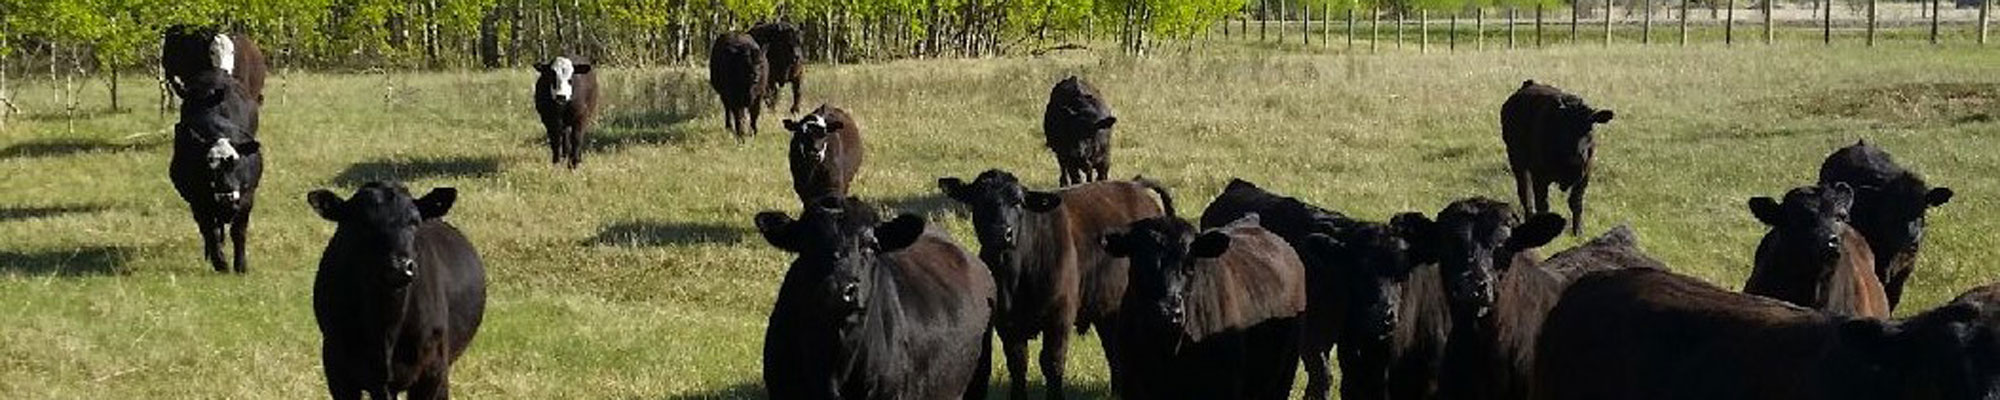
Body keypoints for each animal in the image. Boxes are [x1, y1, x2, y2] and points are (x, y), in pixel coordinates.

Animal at [169, 70, 263, 273]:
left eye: (236, 162)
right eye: (208, 165)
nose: (226, 194)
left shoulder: (247, 196)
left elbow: (238, 230)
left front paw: (240, 265)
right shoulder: (197, 201)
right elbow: (209, 230)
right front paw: (220, 262)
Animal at [937, 170, 1172, 400]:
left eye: (1018, 202)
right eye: (979, 200)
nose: (1001, 233)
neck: (1015, 275)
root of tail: (1136, 185)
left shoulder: (1059, 316)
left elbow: (1052, 363)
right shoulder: (1006, 322)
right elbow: (1017, 364)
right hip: (1107, 307)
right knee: (1113, 348)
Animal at [1197, 178, 1435, 400]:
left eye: (1402, 273)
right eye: (1359, 270)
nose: (1385, 315)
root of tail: (1239, 186)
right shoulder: (1313, 333)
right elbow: (1322, 375)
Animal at [1501, 80, 1615, 235]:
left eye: (1590, 127)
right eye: (1565, 127)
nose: (1578, 155)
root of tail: (1529, 84)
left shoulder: (1585, 174)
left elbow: (1576, 203)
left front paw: (1578, 232)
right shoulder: (1539, 177)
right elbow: (1543, 205)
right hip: (1516, 161)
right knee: (1525, 194)